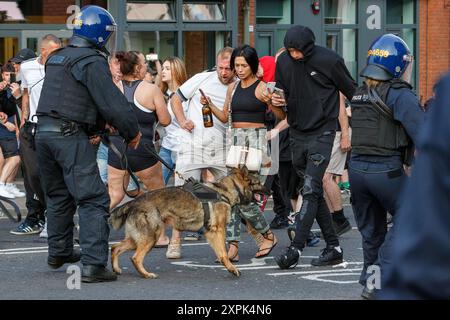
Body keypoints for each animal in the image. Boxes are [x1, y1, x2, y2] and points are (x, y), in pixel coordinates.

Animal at [109, 166, 268, 278]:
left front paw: (227, 265)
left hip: (137, 239)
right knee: (135, 258)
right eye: (258, 183)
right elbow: (223, 252)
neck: (225, 191)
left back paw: (116, 269)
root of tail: (134, 202)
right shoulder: (218, 231)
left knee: (115, 248)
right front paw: (231, 268)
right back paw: (146, 274)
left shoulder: (211, 233)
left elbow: (221, 252)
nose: (271, 191)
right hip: (151, 237)